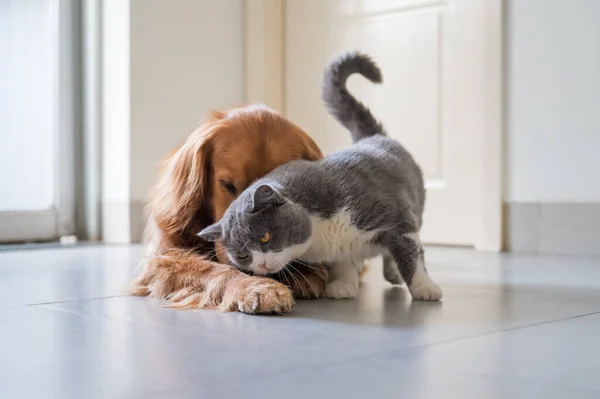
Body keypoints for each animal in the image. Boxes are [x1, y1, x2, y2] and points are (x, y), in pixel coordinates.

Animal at [127, 104, 328, 314]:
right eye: (228, 185)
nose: (246, 257)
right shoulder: (161, 256)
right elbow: (209, 268)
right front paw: (254, 286)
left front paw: (305, 271)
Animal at [199, 51, 442, 302]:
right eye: (242, 255)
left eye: (265, 237)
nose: (261, 265)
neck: (320, 237)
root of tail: (371, 137)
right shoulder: (342, 248)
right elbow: (344, 260)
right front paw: (343, 285)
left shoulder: (396, 217)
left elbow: (410, 256)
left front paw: (424, 288)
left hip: (414, 208)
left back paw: (395, 273)